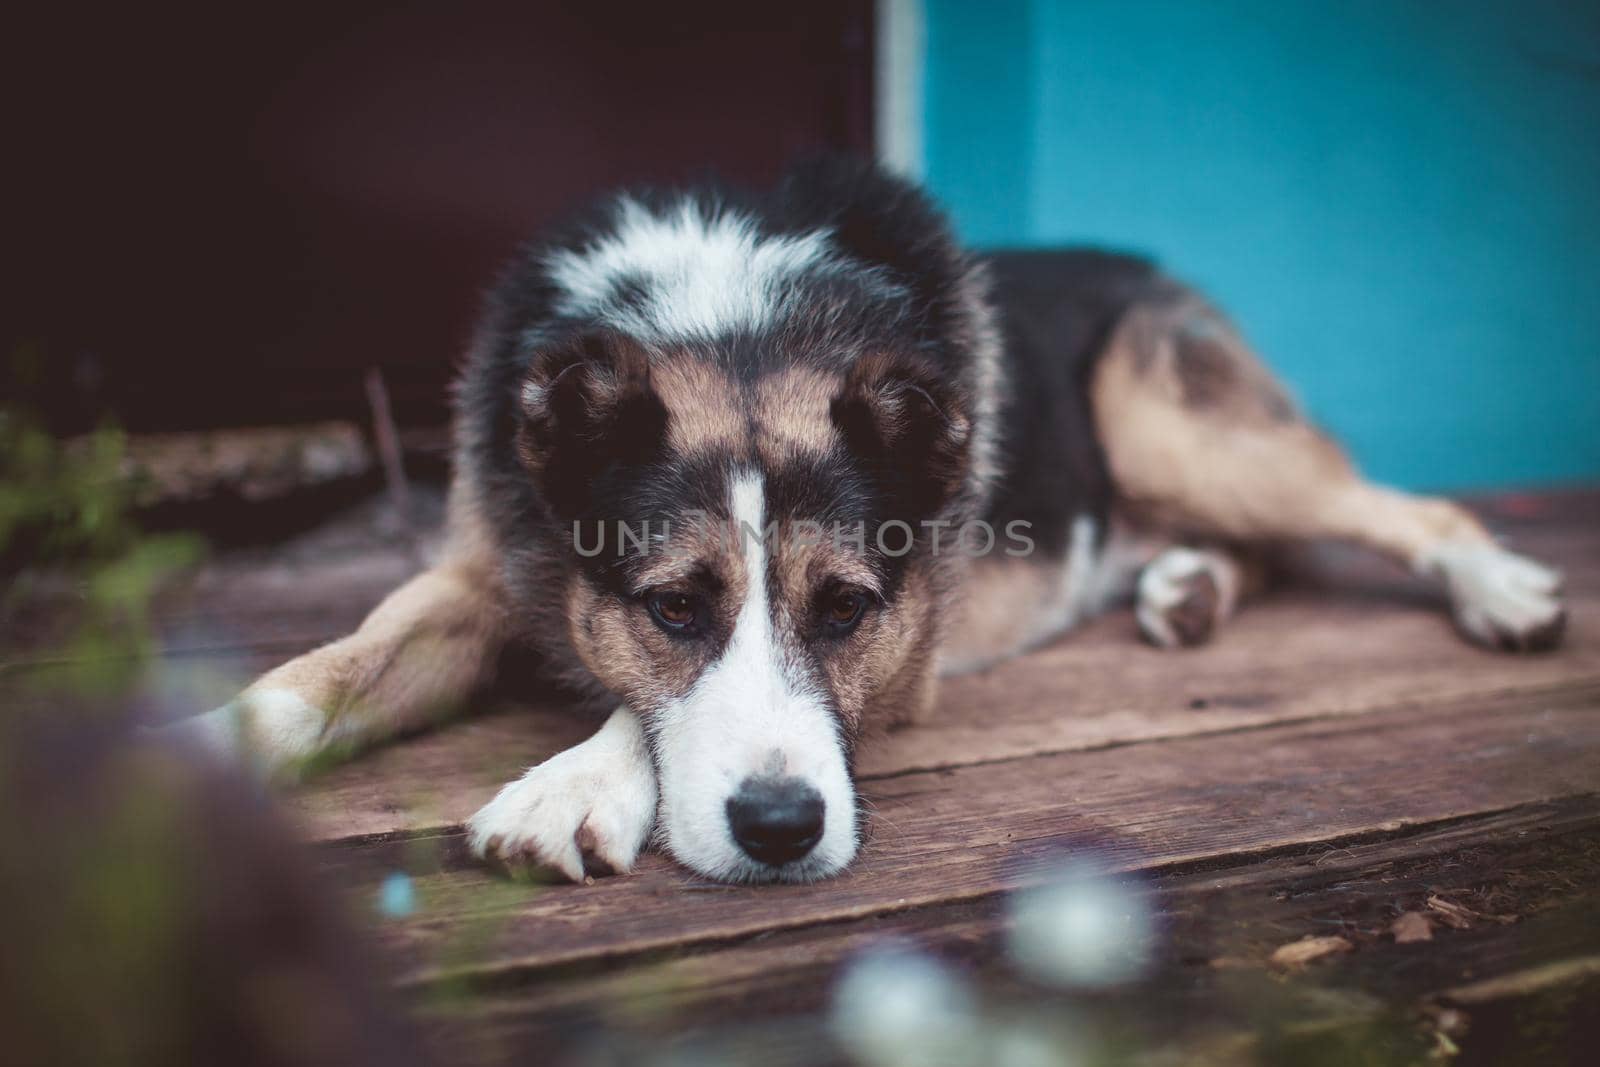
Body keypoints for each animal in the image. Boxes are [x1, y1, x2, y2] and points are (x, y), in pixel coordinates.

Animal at [181, 156, 1568, 883]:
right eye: (672, 605)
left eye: (847, 607)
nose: (781, 832)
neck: (731, 325)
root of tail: (1149, 264)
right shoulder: (477, 570)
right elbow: (329, 667)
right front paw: (194, 747)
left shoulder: (912, 655)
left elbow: (646, 712)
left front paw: (571, 778)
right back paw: (1188, 588)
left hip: (1170, 424)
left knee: (1397, 506)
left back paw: (1497, 587)